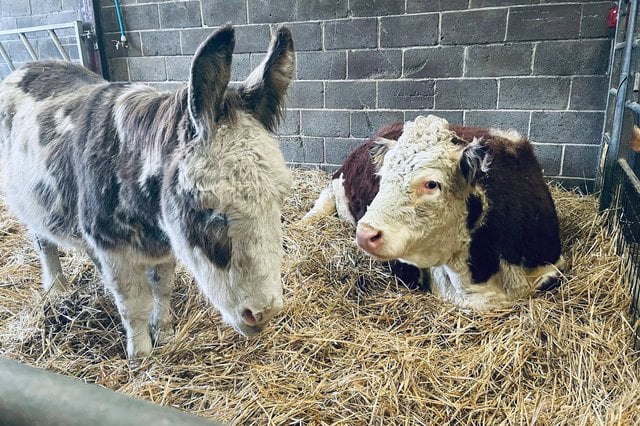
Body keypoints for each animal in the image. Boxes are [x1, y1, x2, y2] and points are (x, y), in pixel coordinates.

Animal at [0, 25, 294, 359]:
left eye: (280, 200)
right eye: (207, 210)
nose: (263, 313)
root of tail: (28, 67)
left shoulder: (164, 249)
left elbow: (161, 289)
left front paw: (163, 333)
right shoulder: (114, 250)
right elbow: (134, 306)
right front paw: (140, 354)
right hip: (28, 204)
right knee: (42, 241)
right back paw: (56, 288)